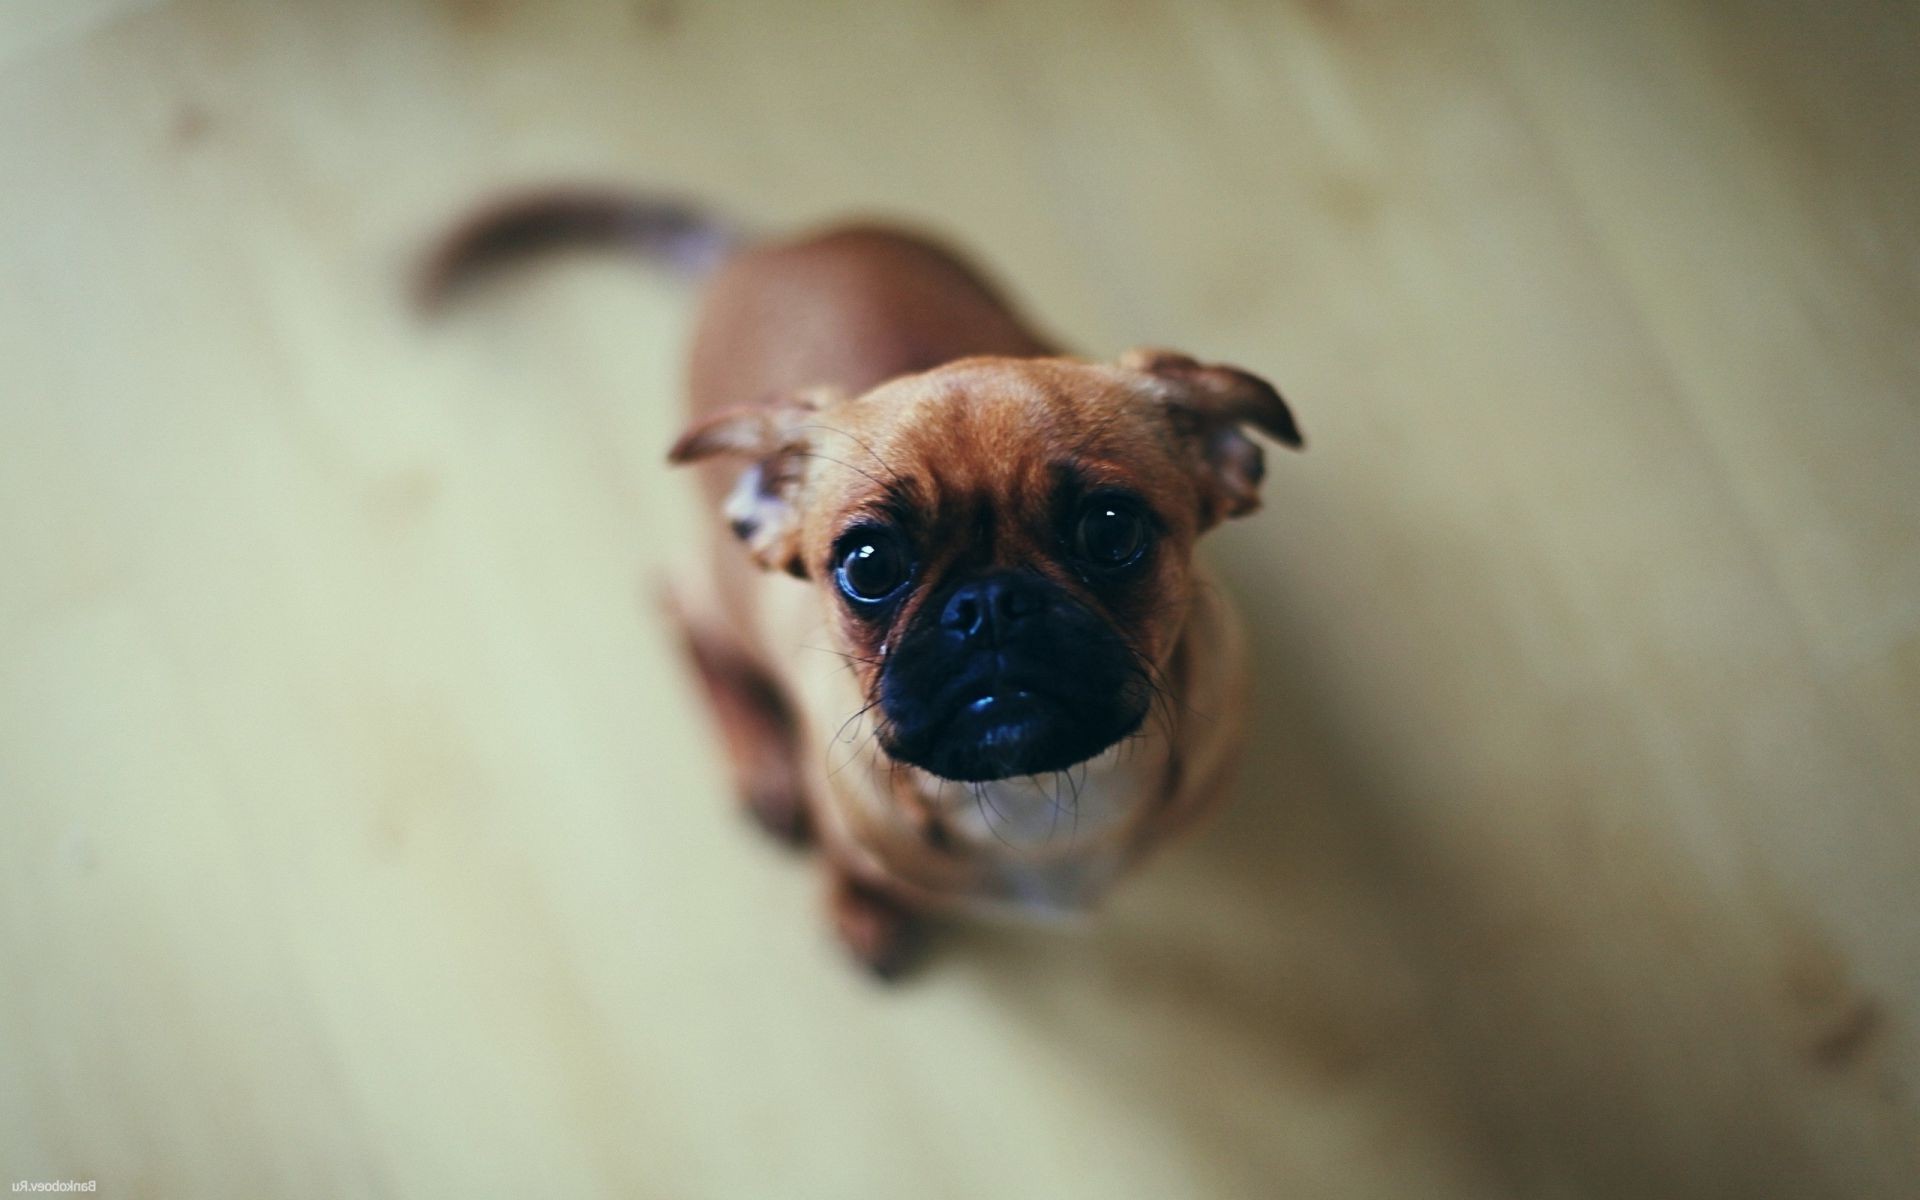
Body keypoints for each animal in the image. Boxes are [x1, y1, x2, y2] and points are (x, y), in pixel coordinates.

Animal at [424, 189, 1305, 975]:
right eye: (868, 565)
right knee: (680, 615)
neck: (1033, 790)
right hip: (721, 594)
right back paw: (762, 766)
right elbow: (844, 859)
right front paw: (859, 905)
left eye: (1114, 532)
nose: (990, 606)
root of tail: (768, 248)